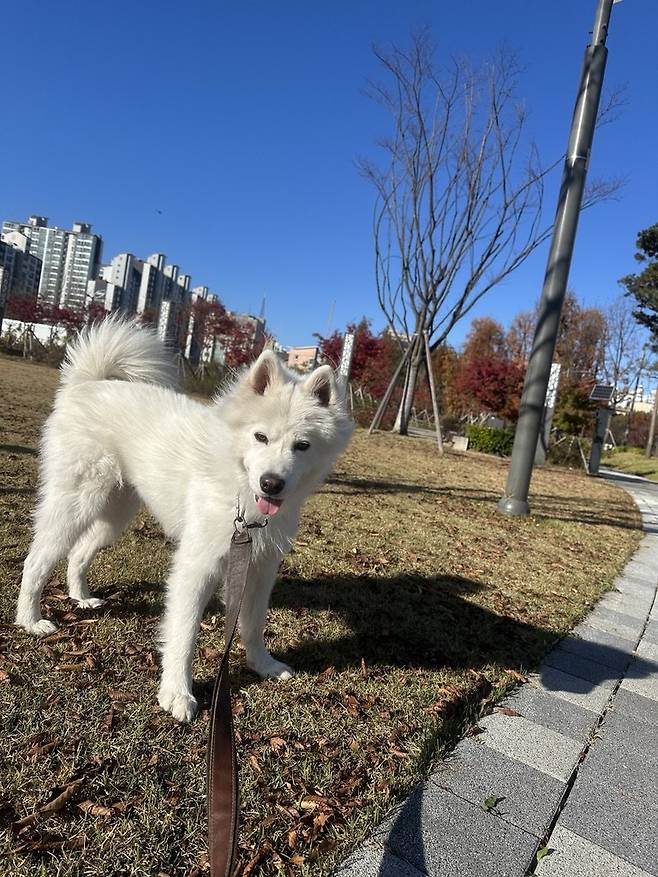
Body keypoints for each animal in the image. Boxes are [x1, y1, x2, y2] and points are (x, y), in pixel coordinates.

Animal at [15, 314, 354, 720]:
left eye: (302, 446)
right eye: (260, 437)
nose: (271, 483)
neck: (240, 493)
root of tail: (89, 383)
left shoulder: (259, 568)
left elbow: (253, 625)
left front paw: (262, 665)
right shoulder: (197, 566)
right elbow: (184, 634)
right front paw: (177, 693)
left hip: (114, 514)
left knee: (79, 553)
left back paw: (81, 597)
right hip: (75, 504)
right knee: (36, 560)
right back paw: (30, 620)